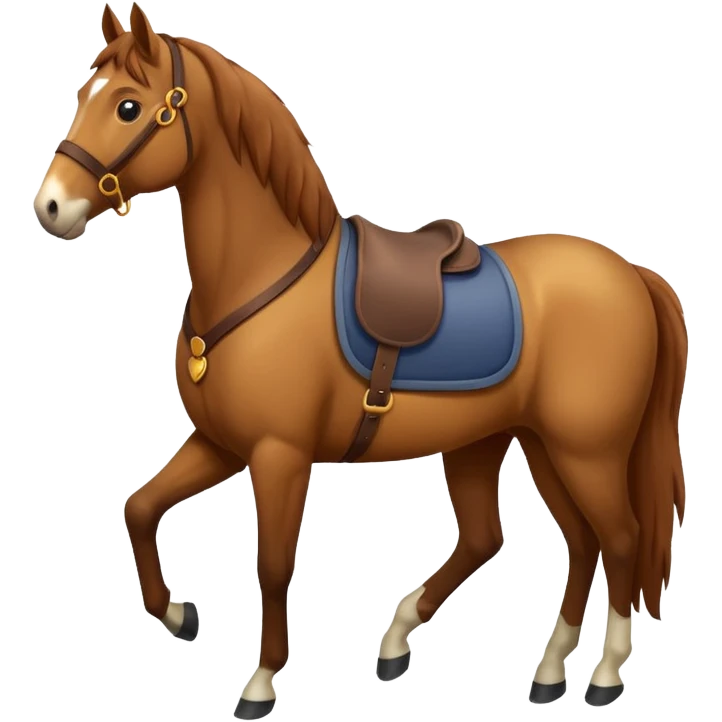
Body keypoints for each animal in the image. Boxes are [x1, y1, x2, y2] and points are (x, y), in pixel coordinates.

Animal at [33, 3, 688, 717]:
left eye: (127, 106)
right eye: (82, 95)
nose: (50, 206)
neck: (260, 277)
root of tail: (631, 274)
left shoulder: (279, 455)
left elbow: (271, 565)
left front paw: (261, 682)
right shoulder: (219, 443)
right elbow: (140, 508)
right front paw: (178, 615)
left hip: (587, 451)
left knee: (618, 539)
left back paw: (602, 675)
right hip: (513, 442)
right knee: (534, 538)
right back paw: (504, 662)